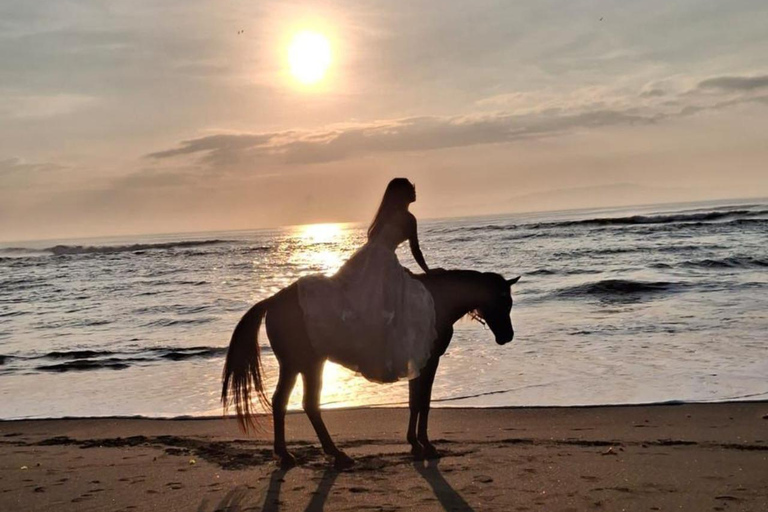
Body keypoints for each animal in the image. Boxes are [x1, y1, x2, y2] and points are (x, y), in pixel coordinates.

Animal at [221, 269, 520, 469]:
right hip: (307, 364)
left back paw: (288, 454)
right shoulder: (429, 361)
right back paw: (332, 454)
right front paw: (425, 445)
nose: (507, 336)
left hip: (297, 365)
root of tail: (273, 300)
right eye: (503, 302)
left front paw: (415, 443)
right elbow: (422, 403)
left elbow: (415, 402)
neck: (435, 300)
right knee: (307, 404)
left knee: (284, 402)